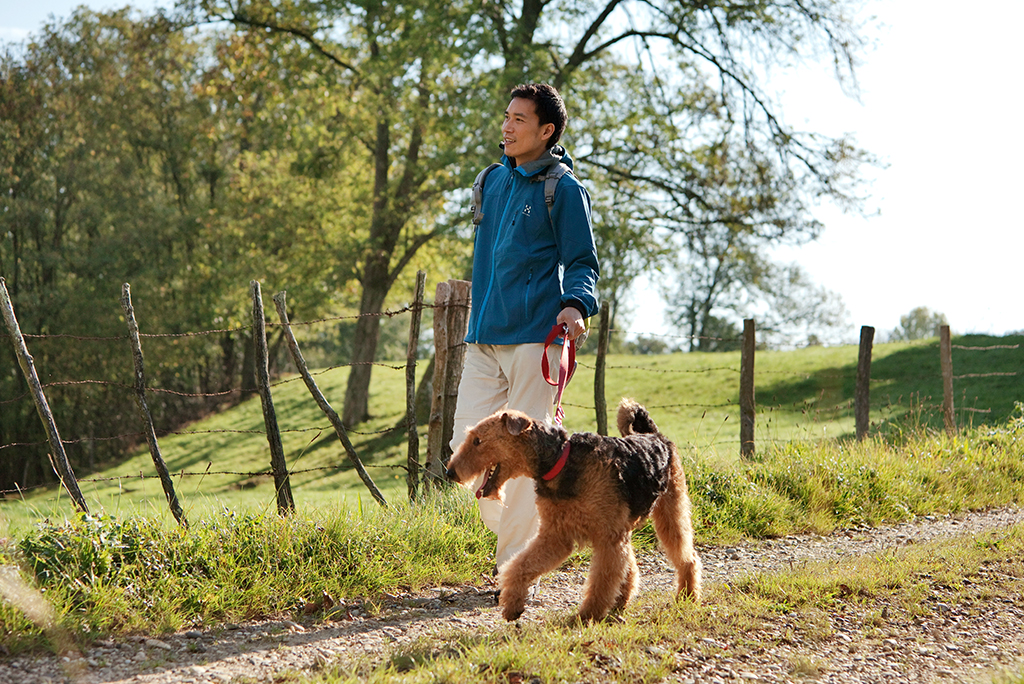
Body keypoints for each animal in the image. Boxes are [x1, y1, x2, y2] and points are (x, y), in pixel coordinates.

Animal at [448, 397, 704, 622]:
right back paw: (623, 600)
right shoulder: (556, 535)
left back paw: (687, 596)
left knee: (687, 557)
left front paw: (587, 615)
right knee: (630, 565)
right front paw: (512, 605)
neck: (558, 461)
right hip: (625, 527)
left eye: (477, 440)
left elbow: (601, 582)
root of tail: (654, 435)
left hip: (670, 510)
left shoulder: (607, 538)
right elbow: (521, 565)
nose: (451, 472)